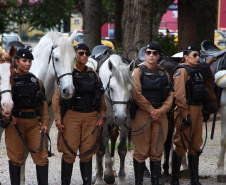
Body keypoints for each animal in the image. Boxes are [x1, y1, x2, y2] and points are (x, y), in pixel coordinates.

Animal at [91, 53, 135, 185]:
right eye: (111, 88)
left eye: (130, 89)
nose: (119, 117)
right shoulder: (104, 125)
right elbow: (103, 149)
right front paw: (106, 175)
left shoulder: (126, 124)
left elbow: (121, 149)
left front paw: (121, 178)